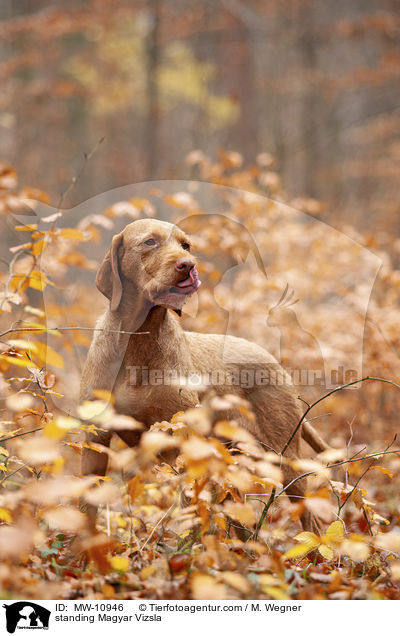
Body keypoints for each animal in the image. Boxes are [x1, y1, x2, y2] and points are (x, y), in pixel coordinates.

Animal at [79, 221, 326, 528]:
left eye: (186, 245)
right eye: (150, 242)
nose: (188, 265)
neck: (139, 340)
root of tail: (275, 362)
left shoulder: (182, 440)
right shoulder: (95, 439)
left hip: (284, 459)